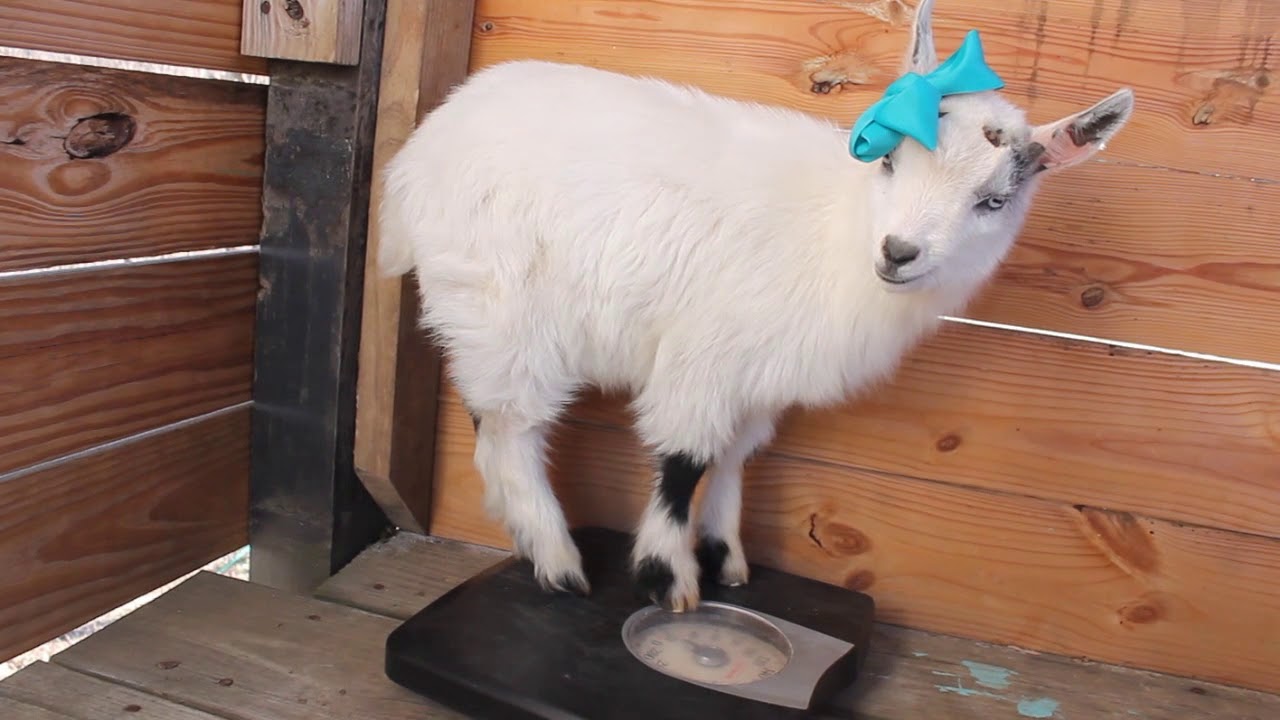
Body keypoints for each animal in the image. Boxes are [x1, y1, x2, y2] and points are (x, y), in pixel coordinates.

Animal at [377, 0, 1135, 612]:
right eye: (890, 161)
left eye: (995, 201)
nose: (898, 252)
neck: (836, 233)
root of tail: (416, 156)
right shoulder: (703, 356)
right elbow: (685, 459)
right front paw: (668, 578)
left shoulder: (756, 375)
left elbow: (736, 456)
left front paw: (725, 556)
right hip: (500, 307)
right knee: (513, 426)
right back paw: (558, 562)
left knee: (494, 428)